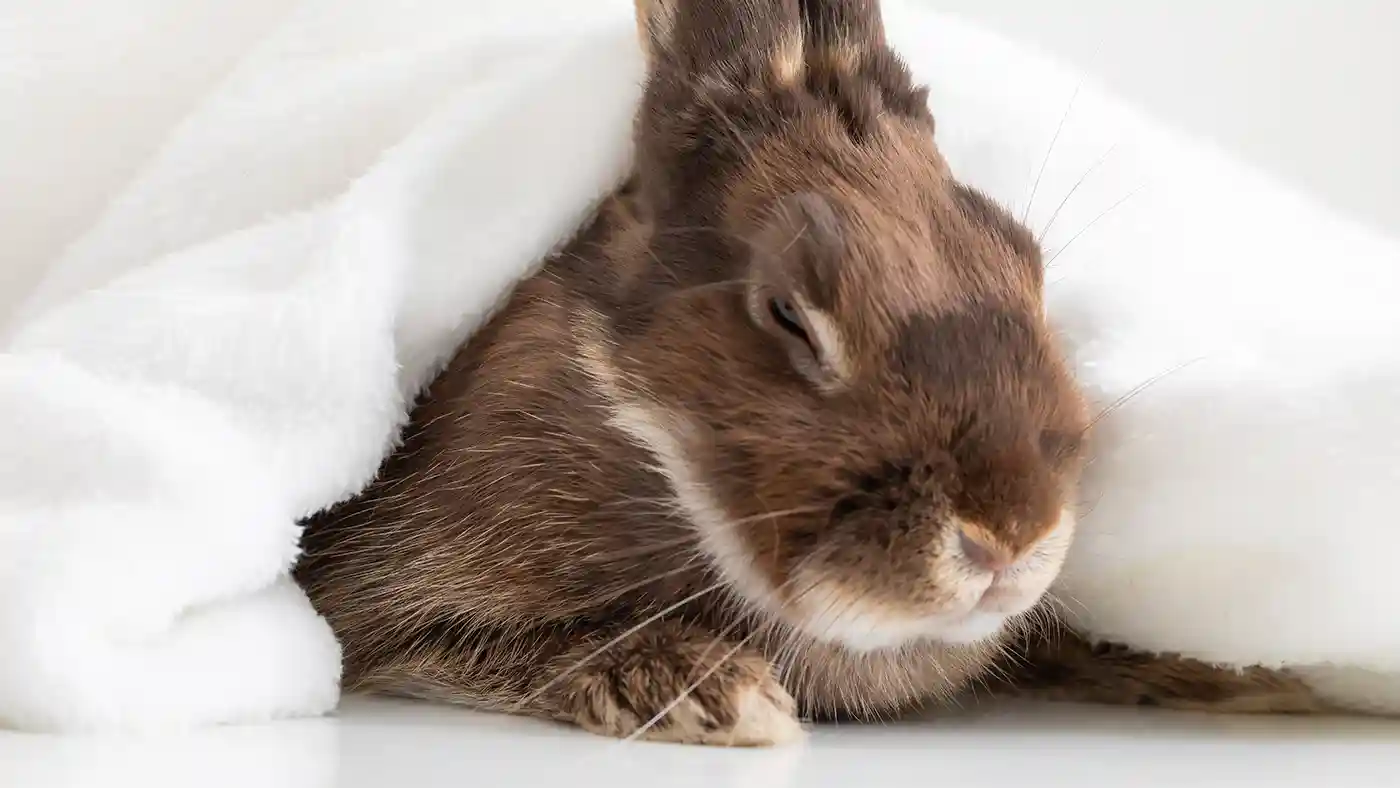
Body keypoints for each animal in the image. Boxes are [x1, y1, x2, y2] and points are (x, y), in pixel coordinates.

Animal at [296, 0, 1325, 746]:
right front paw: (716, 692)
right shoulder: (383, 598)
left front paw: (1240, 682)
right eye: (789, 312)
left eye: (1026, 260)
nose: (1010, 538)